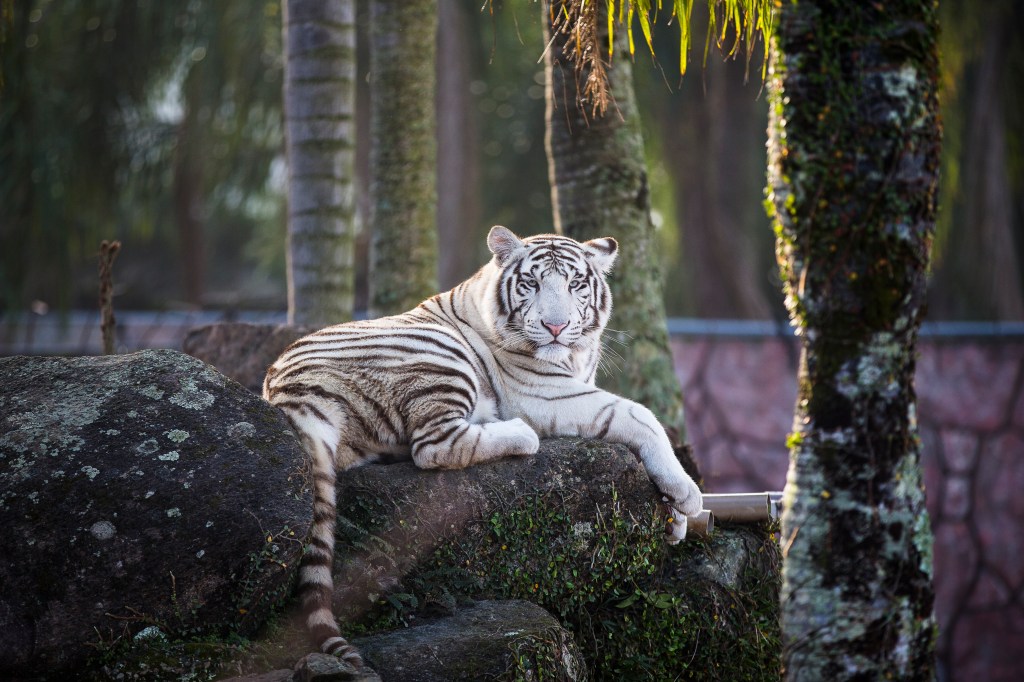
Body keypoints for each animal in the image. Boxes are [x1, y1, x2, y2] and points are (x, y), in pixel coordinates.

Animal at [262, 225, 704, 667]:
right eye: (532, 284)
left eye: (576, 285)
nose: (556, 327)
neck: (575, 359)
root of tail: (286, 391)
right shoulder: (545, 393)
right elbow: (638, 415)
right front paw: (688, 494)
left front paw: (675, 517)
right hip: (440, 355)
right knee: (433, 447)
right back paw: (516, 432)